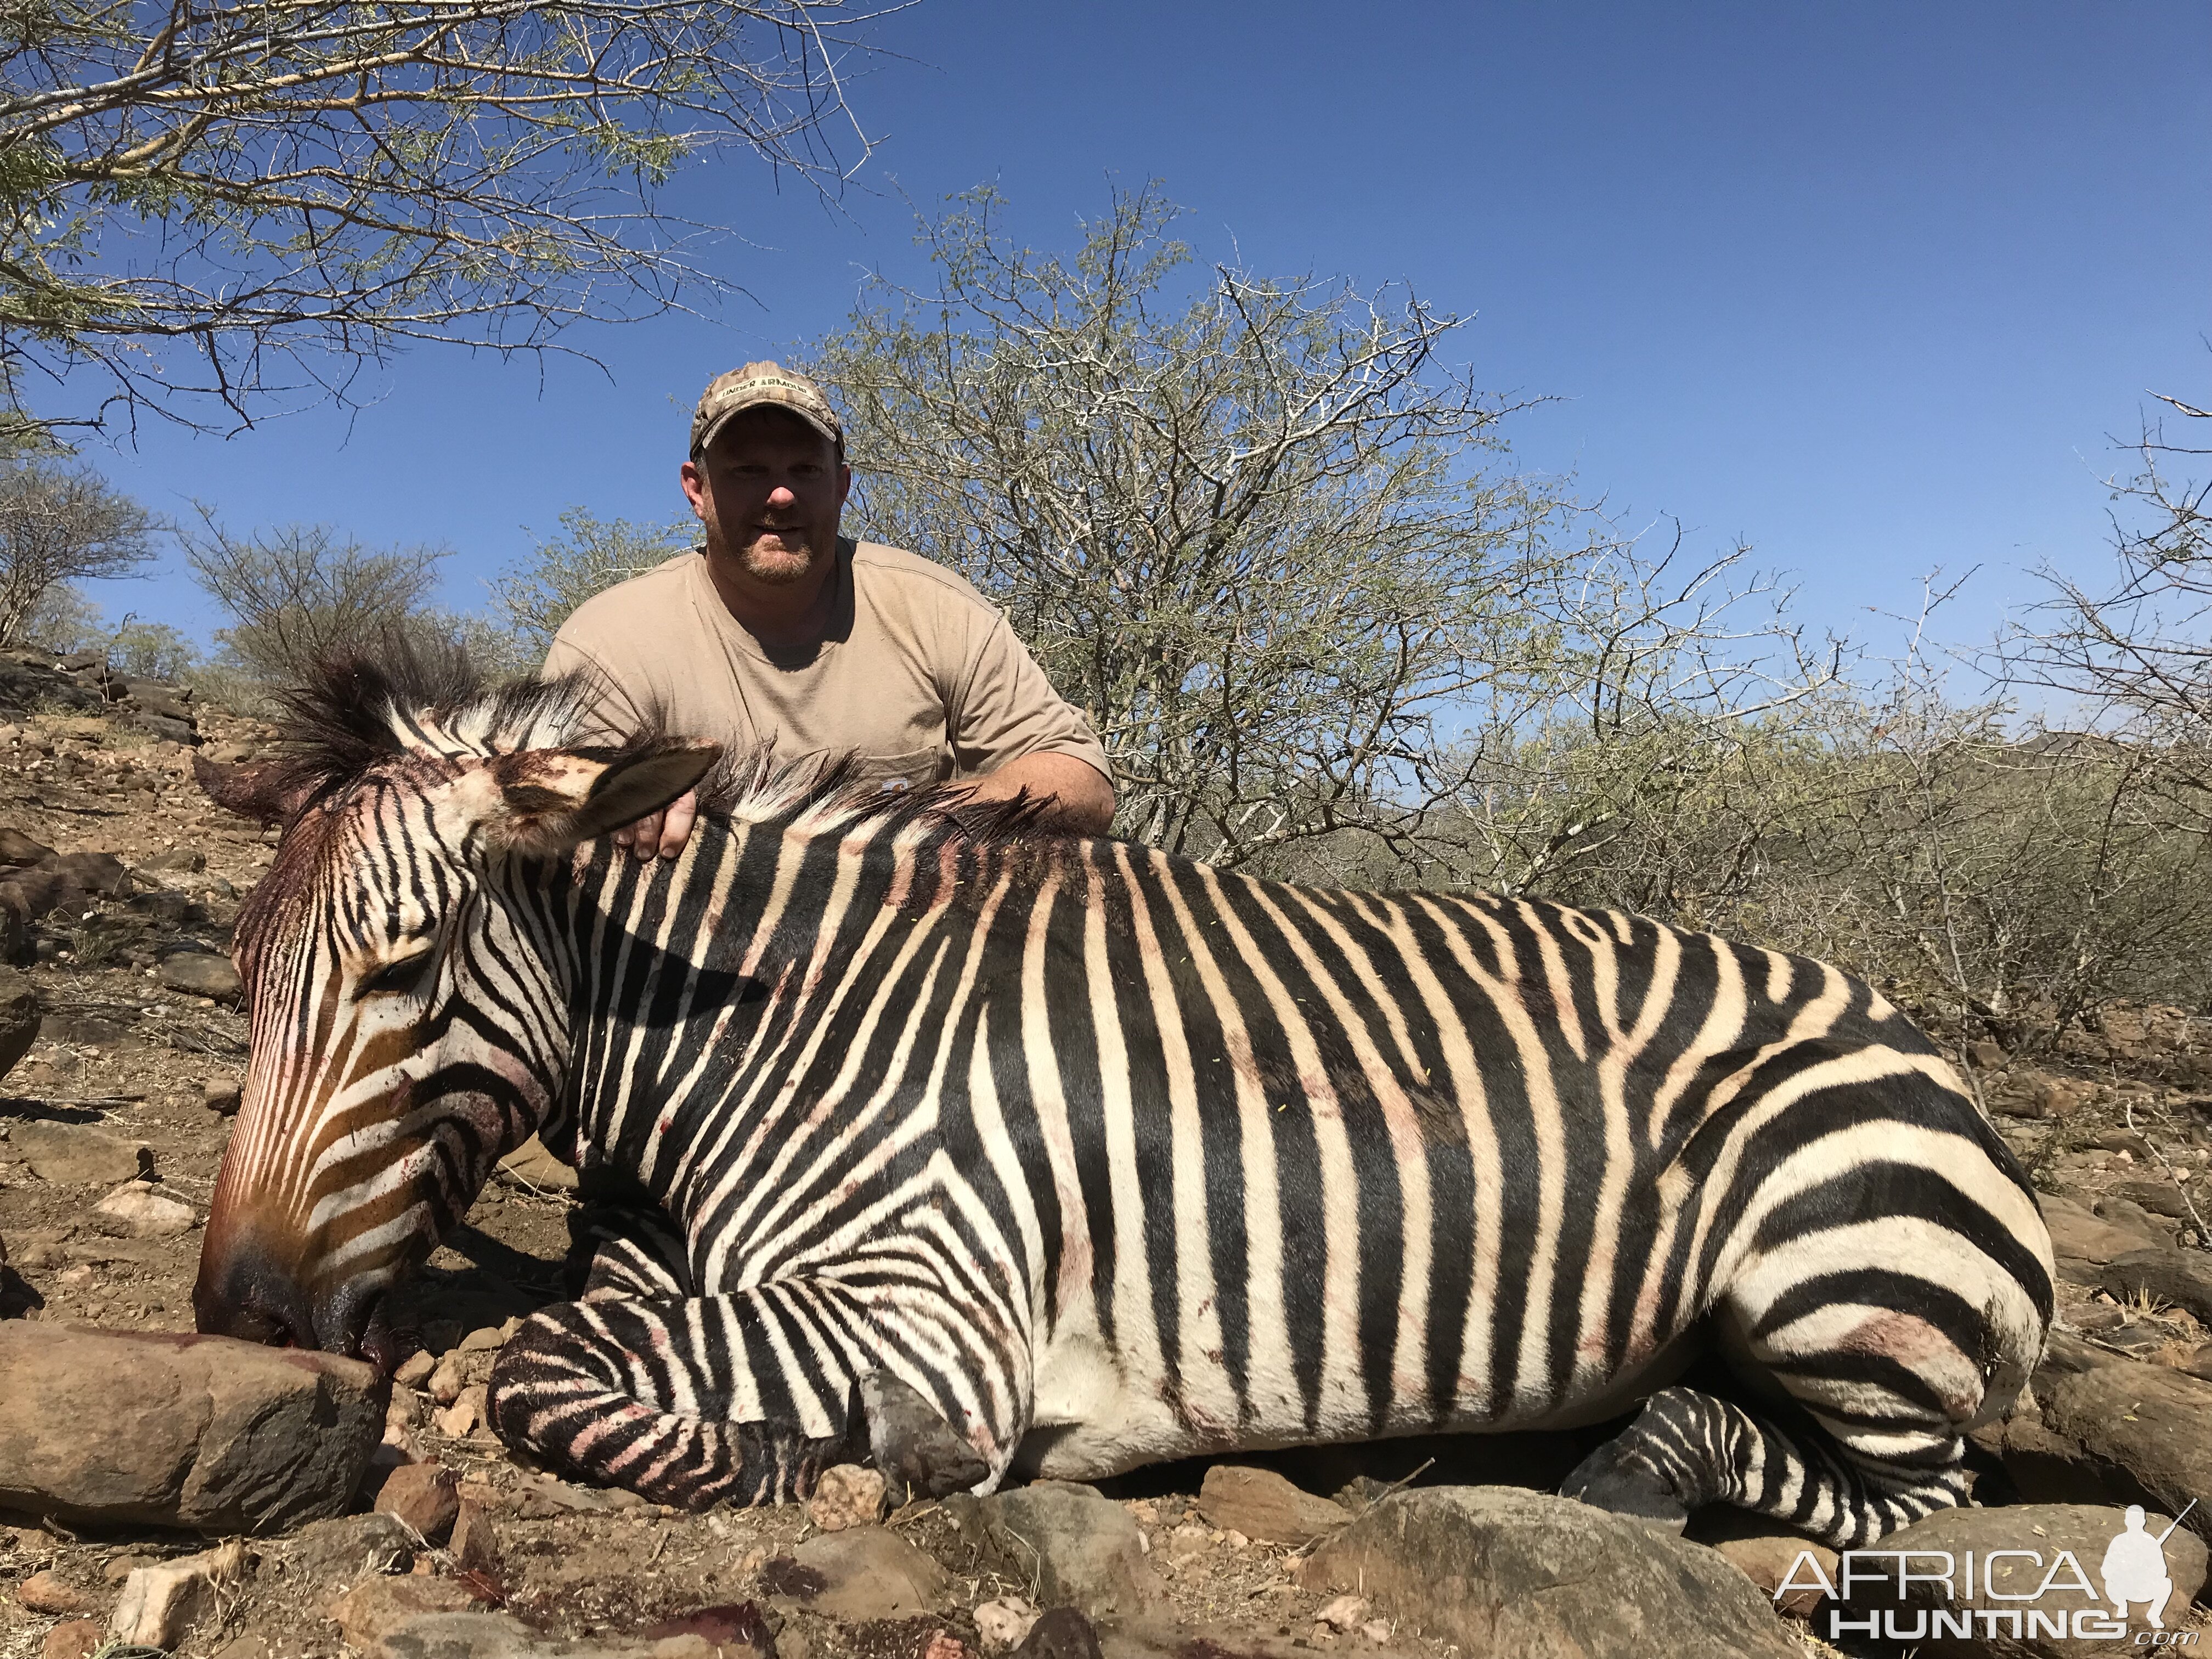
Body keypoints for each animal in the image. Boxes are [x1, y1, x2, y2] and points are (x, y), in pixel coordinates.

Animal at [190, 654, 2052, 1557]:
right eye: (244, 981)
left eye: (405, 971)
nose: (241, 1313)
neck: (770, 1027)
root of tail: (1931, 1057)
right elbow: (567, 1339)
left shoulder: (934, 1314)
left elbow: (542, 1364)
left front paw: (808, 1465)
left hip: (1827, 1288)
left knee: (1916, 1492)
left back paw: (1631, 1475)